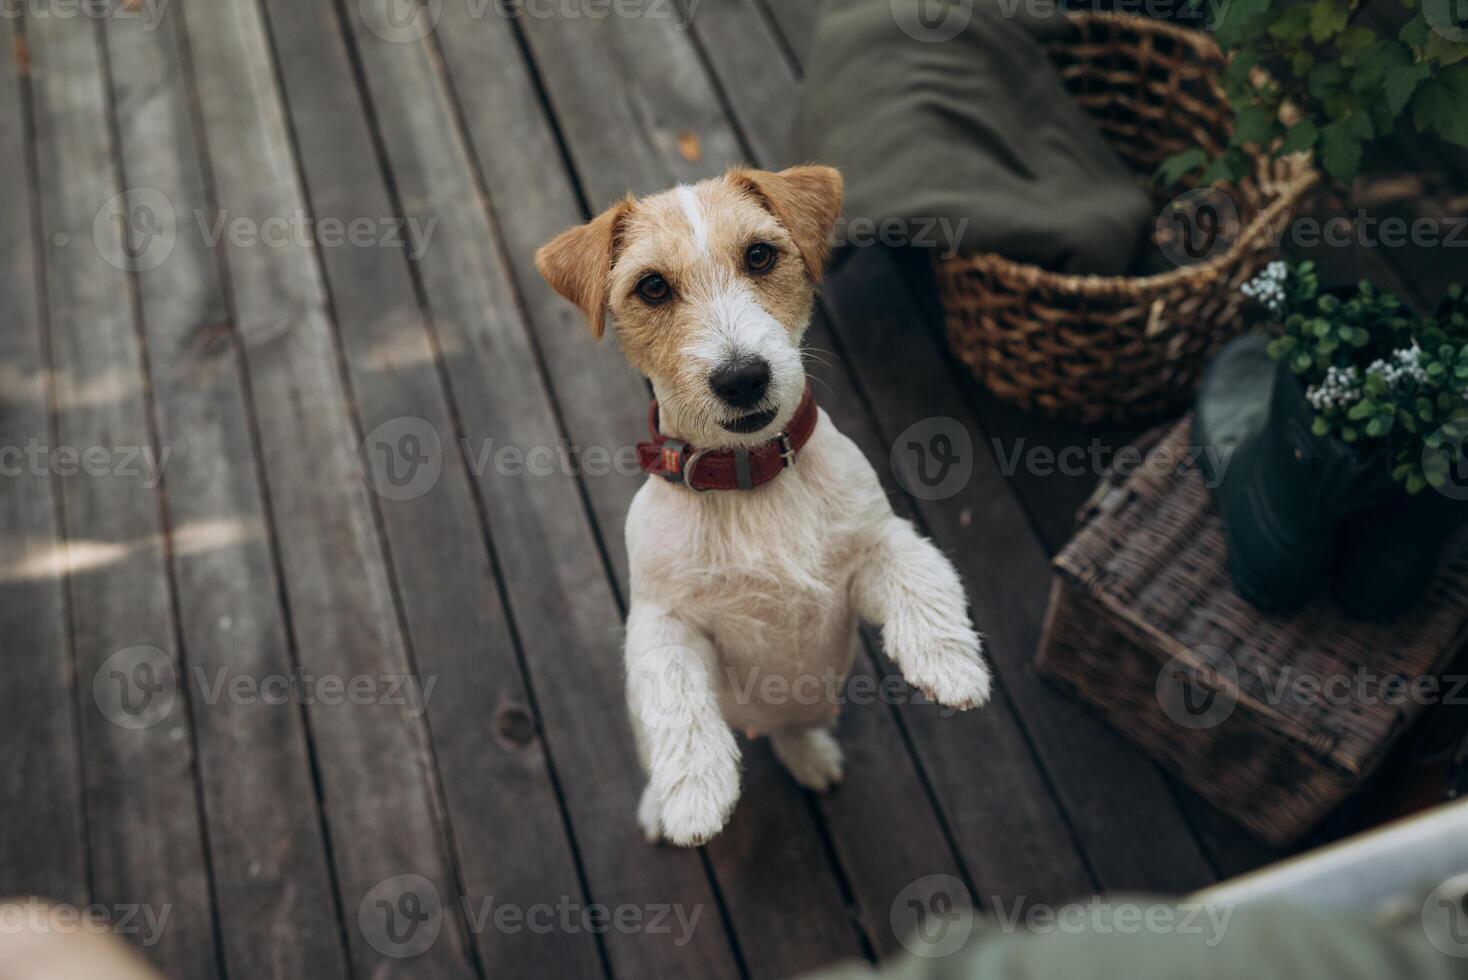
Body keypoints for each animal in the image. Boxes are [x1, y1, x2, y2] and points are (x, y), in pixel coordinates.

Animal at [534, 166, 992, 845]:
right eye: (652, 286)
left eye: (759, 255)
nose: (742, 377)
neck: (749, 479)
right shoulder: (664, 622)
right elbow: (676, 697)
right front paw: (695, 797)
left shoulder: (877, 545)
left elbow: (923, 579)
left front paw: (951, 665)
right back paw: (659, 807)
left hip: (813, 701)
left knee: (789, 729)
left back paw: (809, 755)